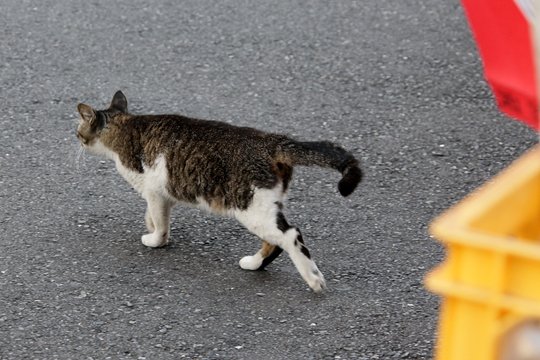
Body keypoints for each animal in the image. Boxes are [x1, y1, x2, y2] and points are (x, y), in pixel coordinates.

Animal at [77, 91, 362, 292]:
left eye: (79, 132)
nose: (76, 141)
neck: (123, 127)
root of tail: (273, 141)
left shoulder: (154, 191)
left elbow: (159, 222)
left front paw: (155, 240)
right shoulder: (165, 193)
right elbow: (155, 216)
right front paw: (152, 227)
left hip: (250, 206)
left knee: (291, 235)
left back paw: (313, 279)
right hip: (266, 204)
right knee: (276, 241)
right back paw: (253, 264)